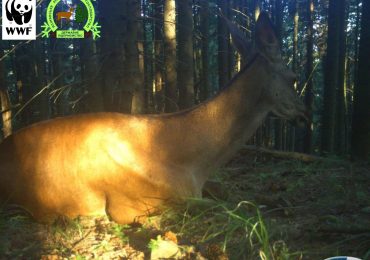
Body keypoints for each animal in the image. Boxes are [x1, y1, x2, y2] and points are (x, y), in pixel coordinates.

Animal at [0, 12, 306, 224]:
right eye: (293, 77)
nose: (305, 115)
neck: (193, 163)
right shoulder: (129, 205)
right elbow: (233, 205)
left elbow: (232, 194)